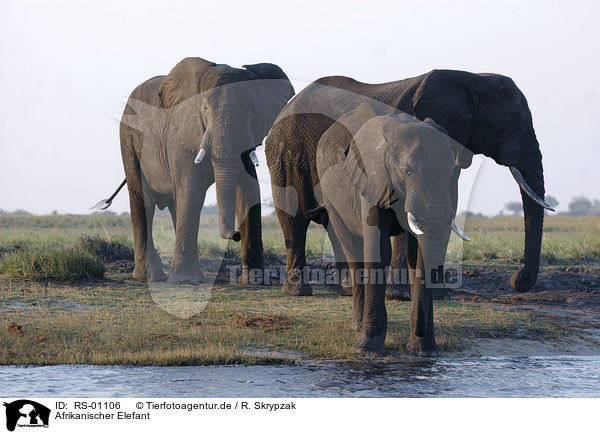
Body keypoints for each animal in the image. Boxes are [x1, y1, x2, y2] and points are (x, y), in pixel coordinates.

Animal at [97, 57, 294, 284]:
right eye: (205, 109)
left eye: (253, 111)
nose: (235, 235)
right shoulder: (181, 136)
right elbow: (191, 191)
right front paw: (182, 280)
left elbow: (248, 192)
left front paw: (254, 281)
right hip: (128, 139)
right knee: (143, 202)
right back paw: (150, 277)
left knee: (174, 204)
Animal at [264, 69, 556, 300]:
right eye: (509, 125)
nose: (516, 280)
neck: (469, 78)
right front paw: (401, 295)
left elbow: (448, 203)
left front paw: (437, 294)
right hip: (287, 150)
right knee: (295, 217)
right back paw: (299, 291)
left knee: (335, 221)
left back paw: (346, 290)